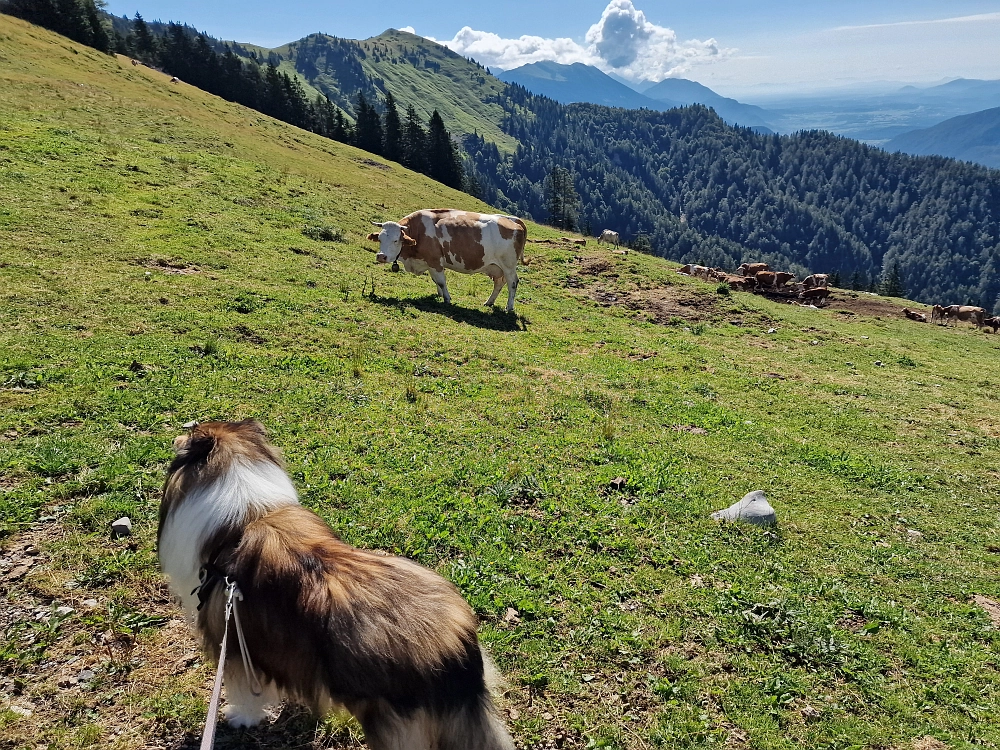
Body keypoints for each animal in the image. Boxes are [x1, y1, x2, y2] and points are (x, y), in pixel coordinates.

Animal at [160, 424, 516, 750]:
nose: (175, 436)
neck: (246, 518)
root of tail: (454, 646)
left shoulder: (234, 641)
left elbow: (245, 691)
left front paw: (241, 718)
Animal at [366, 209, 524, 312]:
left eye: (395, 240)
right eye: (379, 238)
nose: (381, 256)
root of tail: (514, 221)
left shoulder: (435, 261)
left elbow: (441, 281)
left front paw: (447, 299)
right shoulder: (429, 262)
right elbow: (436, 281)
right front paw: (440, 294)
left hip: (508, 265)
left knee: (512, 283)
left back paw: (509, 307)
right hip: (496, 267)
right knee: (499, 283)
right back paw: (489, 302)